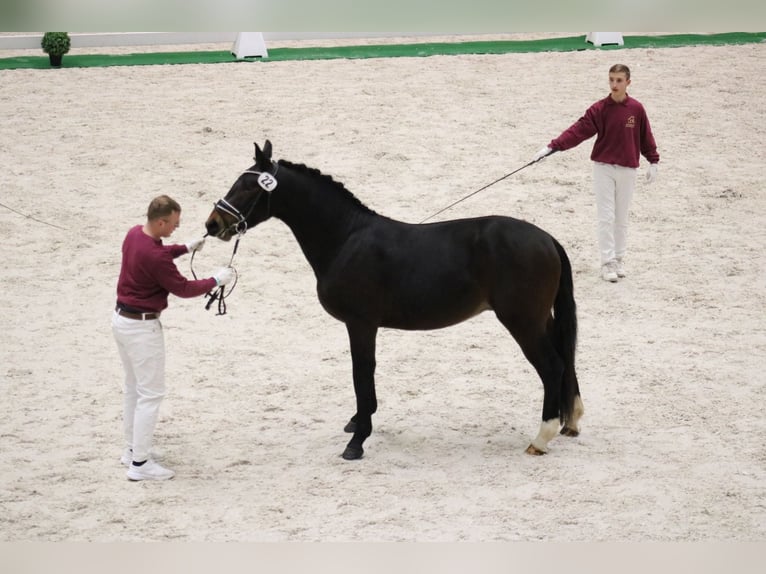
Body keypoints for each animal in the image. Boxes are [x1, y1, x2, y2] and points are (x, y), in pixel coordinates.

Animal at [205, 140, 584, 460]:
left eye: (248, 186)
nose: (213, 224)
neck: (345, 239)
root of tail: (547, 238)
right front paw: (358, 423)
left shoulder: (360, 324)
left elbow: (362, 373)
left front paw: (357, 441)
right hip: (541, 319)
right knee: (565, 358)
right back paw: (571, 420)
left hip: (522, 321)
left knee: (552, 366)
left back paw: (541, 438)